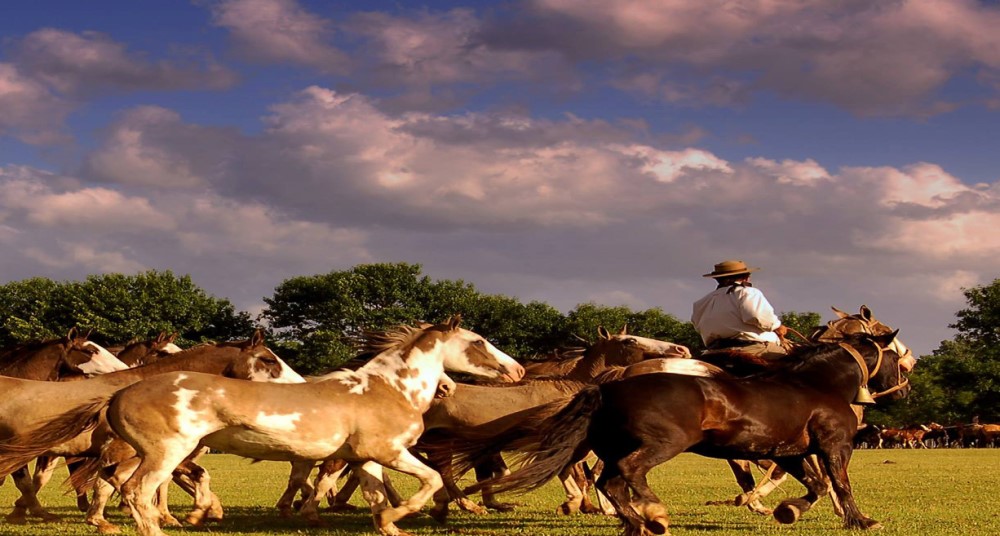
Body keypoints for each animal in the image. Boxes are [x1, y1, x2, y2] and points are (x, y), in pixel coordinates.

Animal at [460, 332, 916, 532]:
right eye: (897, 354)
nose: (906, 385)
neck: (817, 385)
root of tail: (609, 386)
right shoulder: (835, 445)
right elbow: (840, 484)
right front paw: (860, 520)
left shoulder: (789, 452)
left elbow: (816, 486)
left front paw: (786, 510)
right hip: (661, 445)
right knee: (624, 475)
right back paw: (652, 513)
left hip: (613, 448)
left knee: (607, 481)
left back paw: (634, 520)